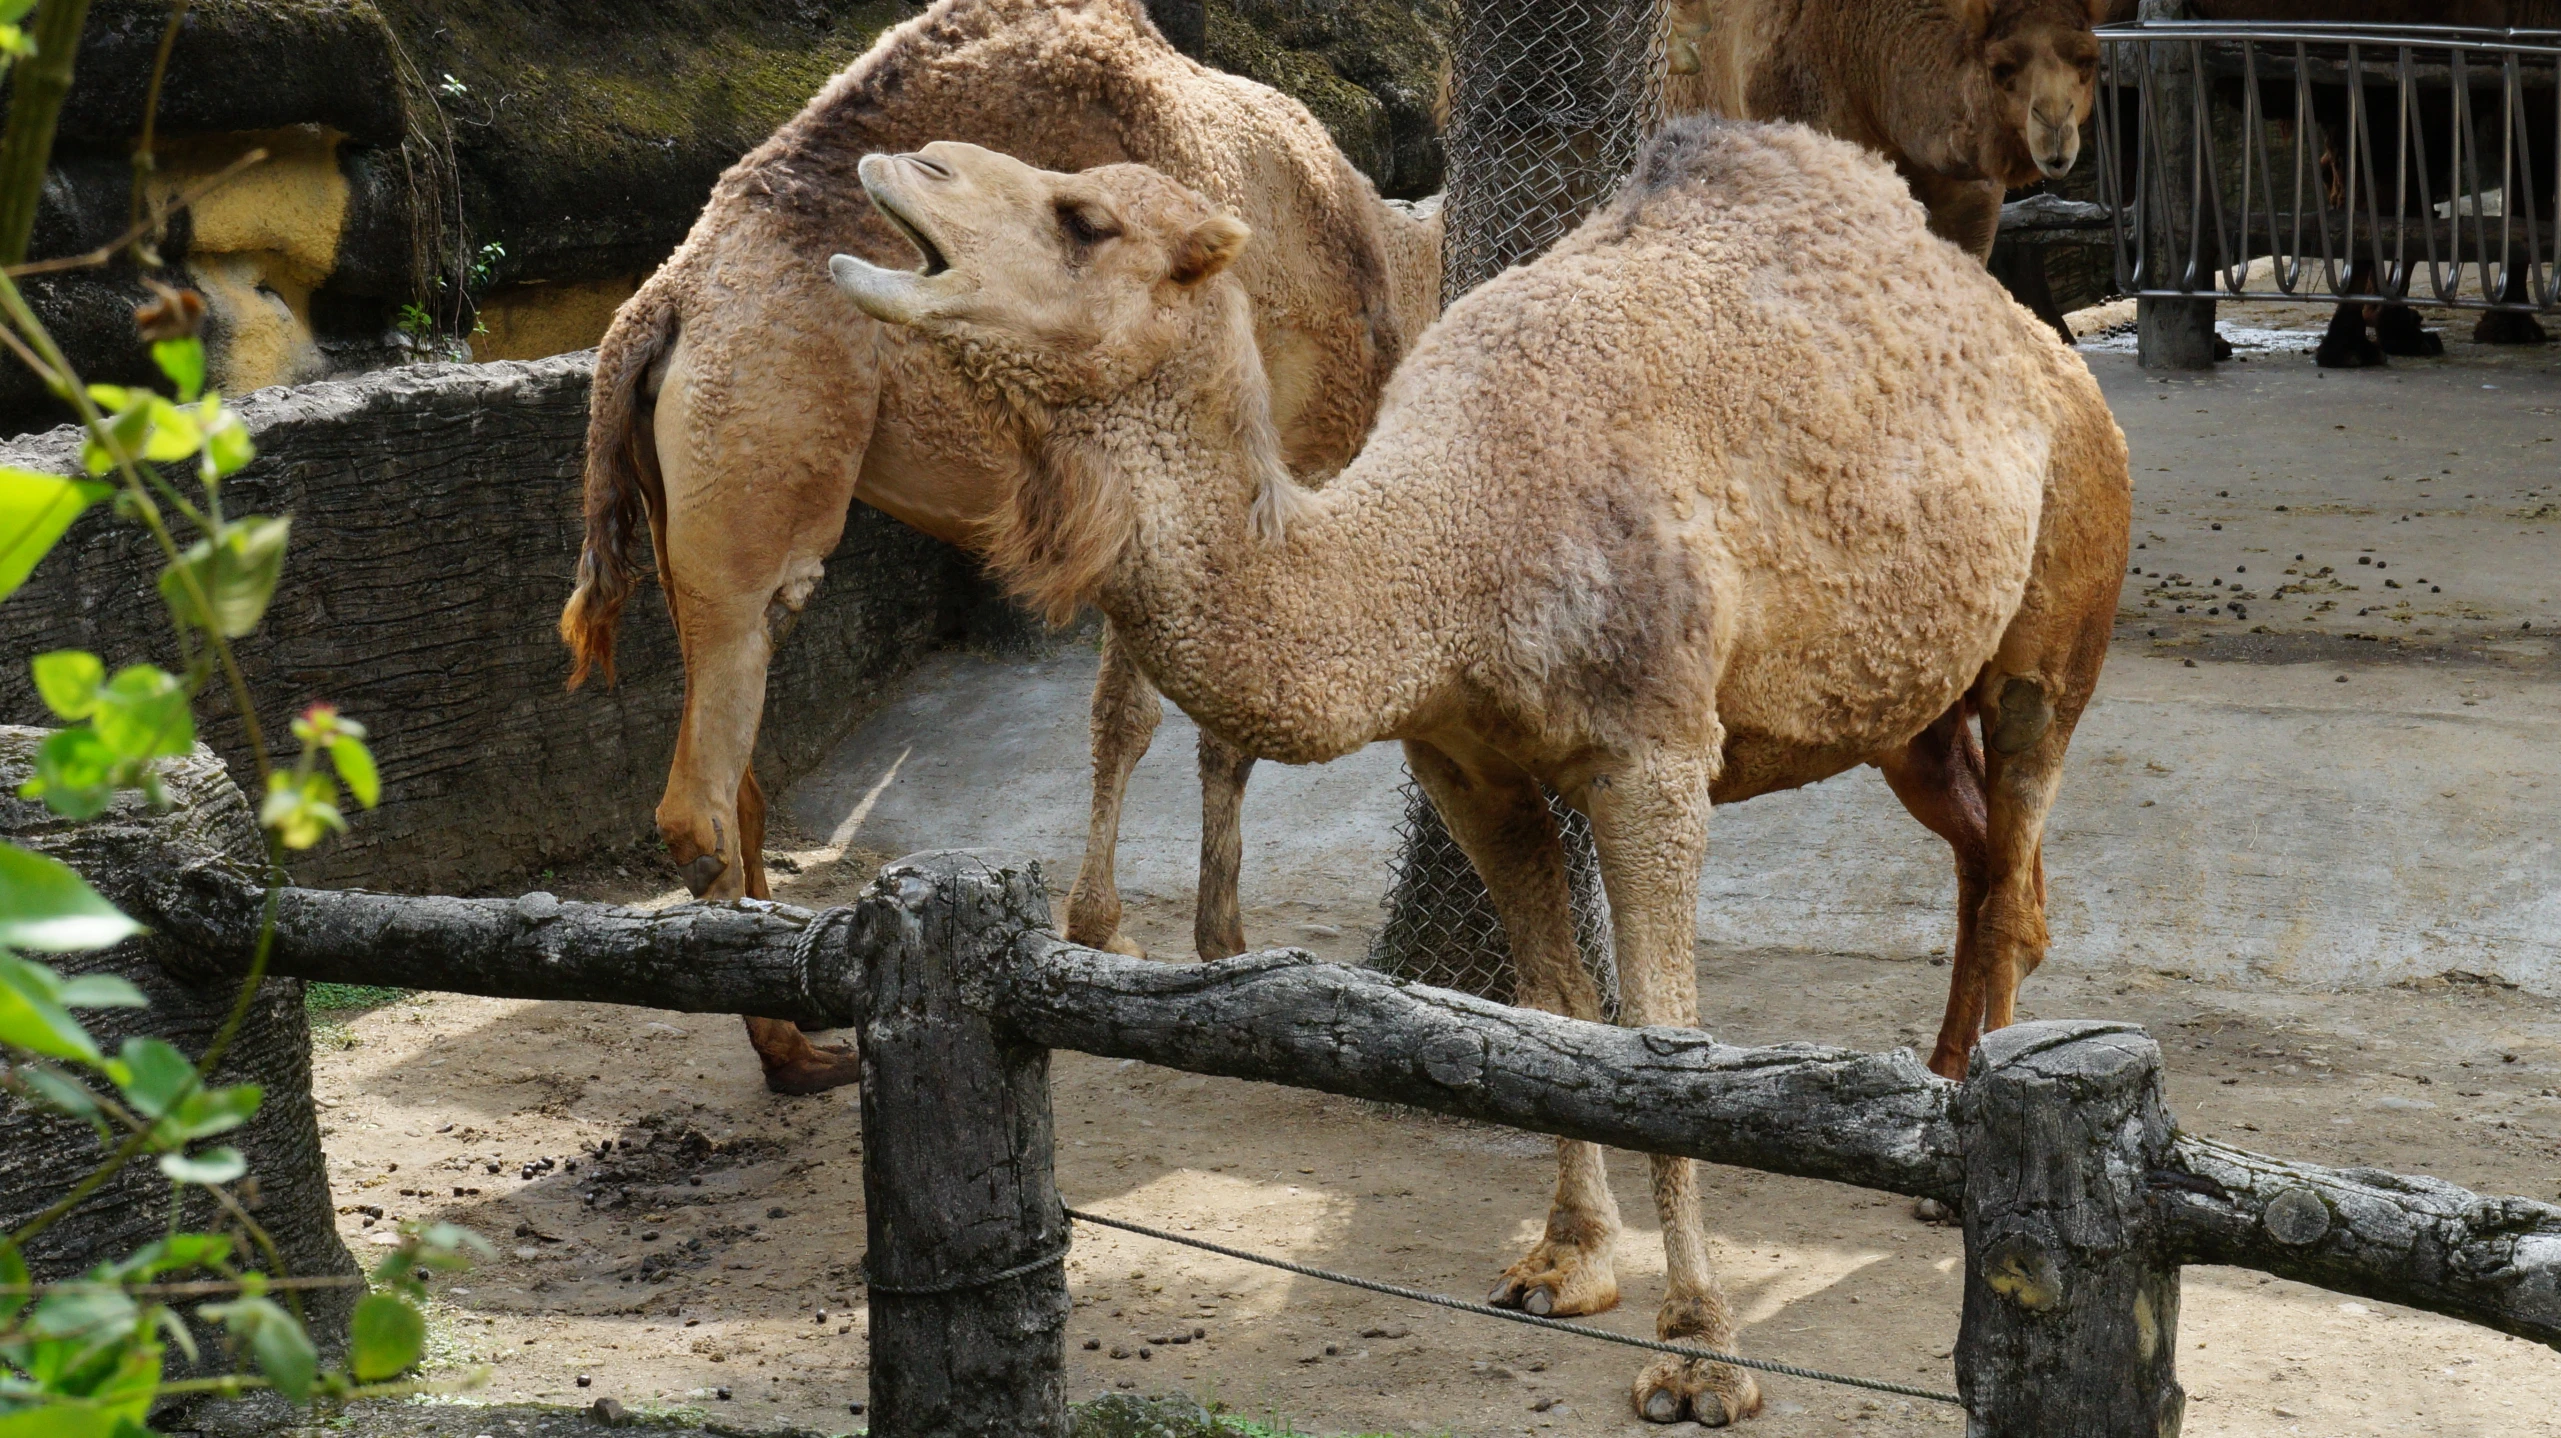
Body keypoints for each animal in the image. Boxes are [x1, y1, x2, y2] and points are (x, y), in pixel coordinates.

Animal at [555, 0, 1444, 1086]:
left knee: (739, 744)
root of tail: (660, 303)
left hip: (694, 503)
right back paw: (791, 1051)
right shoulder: (1262, 480)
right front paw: (1172, 939)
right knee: (701, 798)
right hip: (763, 446)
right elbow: (1172, 724)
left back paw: (794, 1026)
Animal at [829, 114, 2130, 1425]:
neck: (1449, 546)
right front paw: (1567, 1259)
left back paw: (1951, 1157)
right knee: (1986, 862)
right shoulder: (1466, 764)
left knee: (2014, 838)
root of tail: (2051, 355)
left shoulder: (1654, 756)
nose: (906, 163)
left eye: (1084, 221)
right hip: (1901, 708)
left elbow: (1665, 1037)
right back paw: (1944, 1093)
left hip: (2055, 621)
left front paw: (1702, 1355)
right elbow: (1555, 1009)